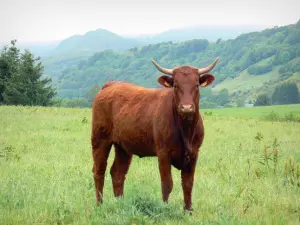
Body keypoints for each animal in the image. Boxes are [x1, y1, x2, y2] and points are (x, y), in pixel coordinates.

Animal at [90, 57, 219, 212]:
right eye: (175, 85)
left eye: (196, 85)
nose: (187, 108)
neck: (186, 131)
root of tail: (111, 85)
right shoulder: (163, 153)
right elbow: (167, 183)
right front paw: (164, 208)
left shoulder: (194, 153)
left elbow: (188, 183)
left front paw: (188, 211)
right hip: (100, 139)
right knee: (99, 171)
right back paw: (99, 205)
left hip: (123, 146)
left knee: (117, 173)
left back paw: (120, 204)